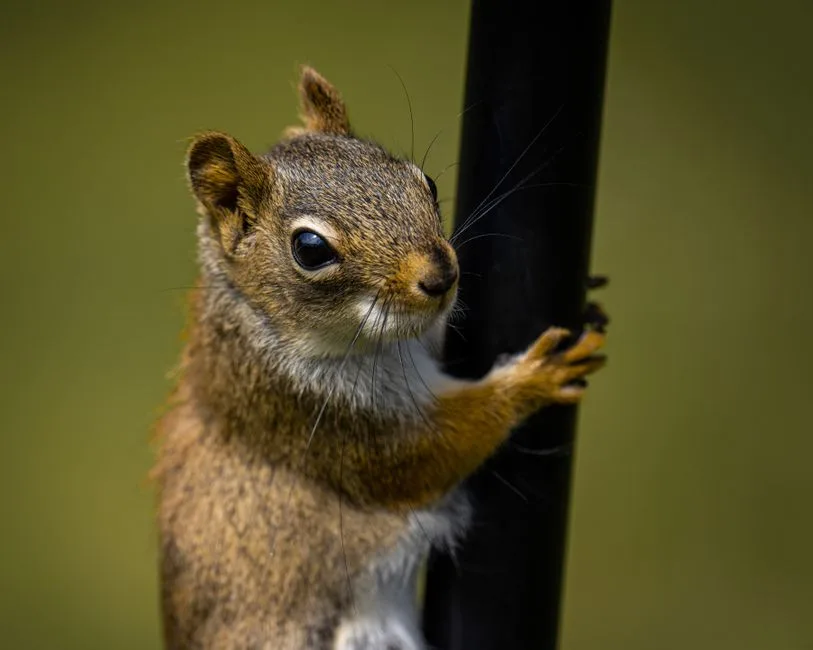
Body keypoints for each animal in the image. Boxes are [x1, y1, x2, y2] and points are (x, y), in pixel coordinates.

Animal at [153, 66, 607, 650]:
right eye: (311, 249)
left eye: (425, 183)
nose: (441, 277)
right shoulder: (313, 415)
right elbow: (428, 453)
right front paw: (533, 379)